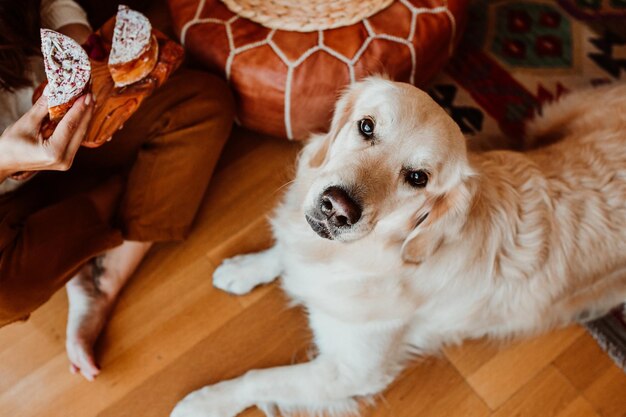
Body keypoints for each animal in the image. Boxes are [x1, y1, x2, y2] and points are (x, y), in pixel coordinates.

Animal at [171, 78, 624, 416]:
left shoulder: (350, 371)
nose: (337, 208)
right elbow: (283, 252)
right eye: (366, 127)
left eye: (418, 177)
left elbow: (258, 379)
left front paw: (204, 402)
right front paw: (244, 268)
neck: (372, 254)